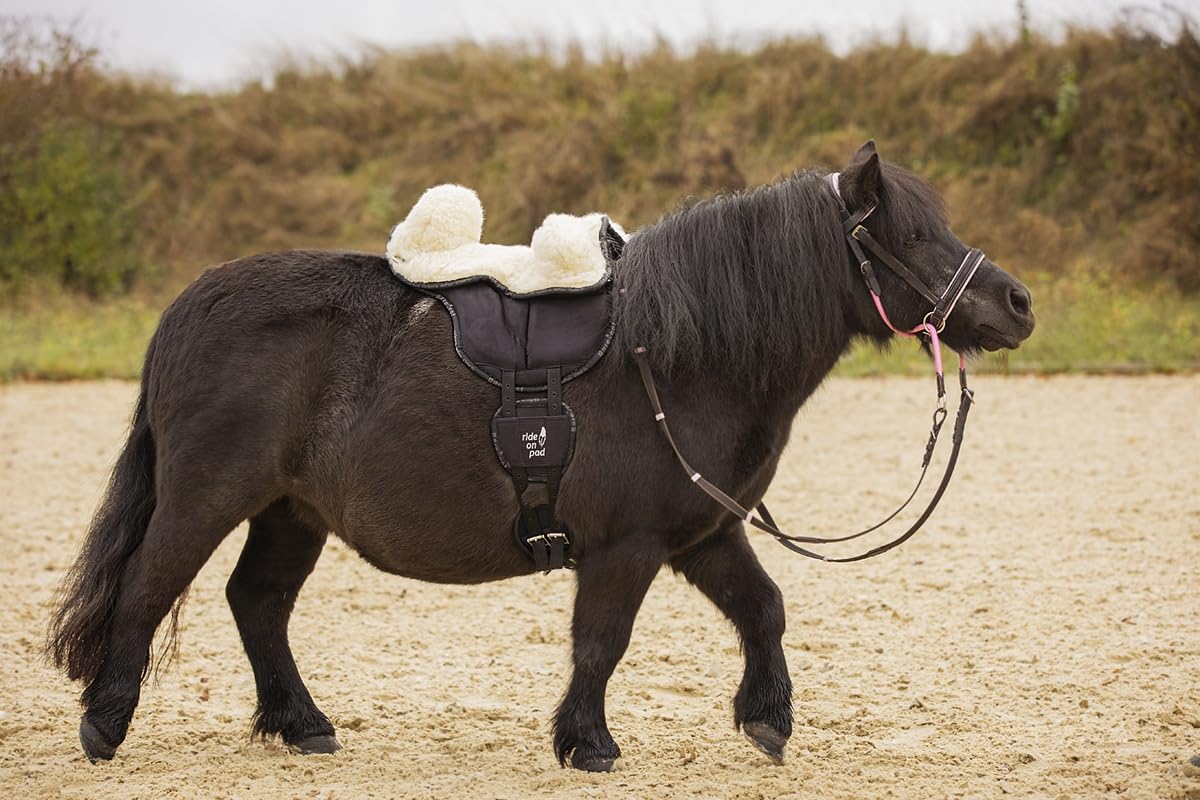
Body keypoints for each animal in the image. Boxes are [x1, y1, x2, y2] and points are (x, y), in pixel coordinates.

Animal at [48, 141, 1035, 771]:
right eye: (910, 236)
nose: (1017, 303)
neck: (674, 354)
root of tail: (189, 309)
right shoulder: (628, 548)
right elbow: (602, 641)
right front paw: (587, 743)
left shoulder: (702, 535)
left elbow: (764, 609)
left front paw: (768, 720)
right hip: (206, 497)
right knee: (147, 589)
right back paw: (106, 726)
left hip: (292, 513)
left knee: (257, 604)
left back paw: (304, 725)